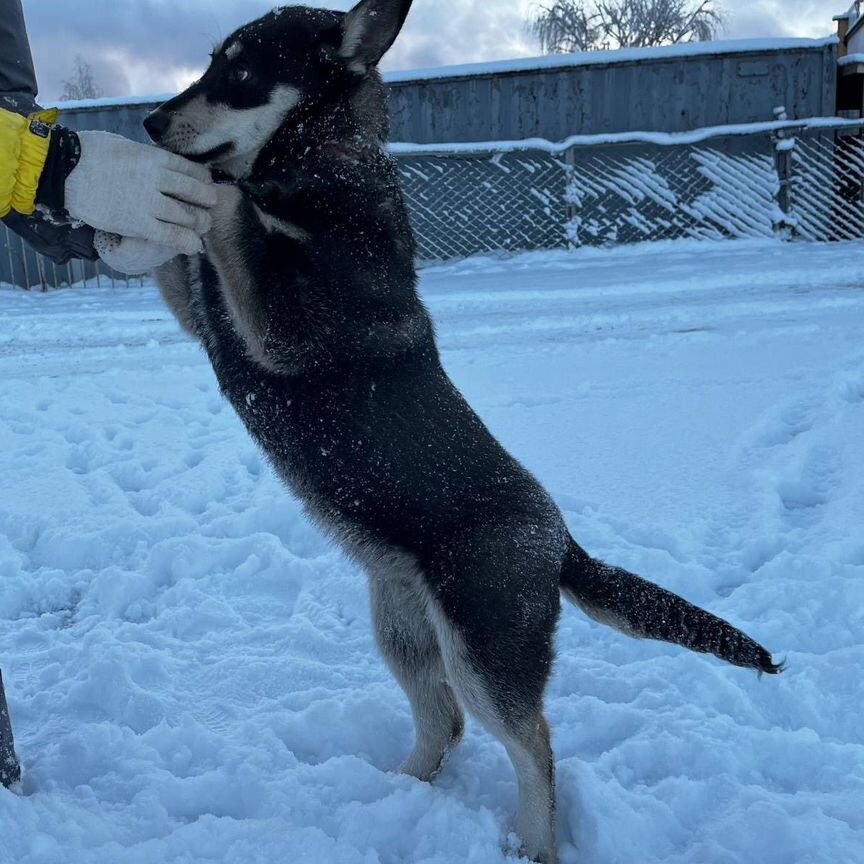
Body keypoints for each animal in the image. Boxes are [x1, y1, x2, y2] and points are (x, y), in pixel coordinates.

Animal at [143, 3, 784, 860]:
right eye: (213, 62)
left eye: (242, 73)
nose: (149, 122)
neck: (325, 168)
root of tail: (563, 546)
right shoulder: (205, 313)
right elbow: (186, 259)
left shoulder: (283, 327)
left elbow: (232, 210)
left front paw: (208, 187)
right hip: (406, 632)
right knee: (444, 722)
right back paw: (401, 788)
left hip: (484, 651)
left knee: (533, 742)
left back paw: (532, 842)